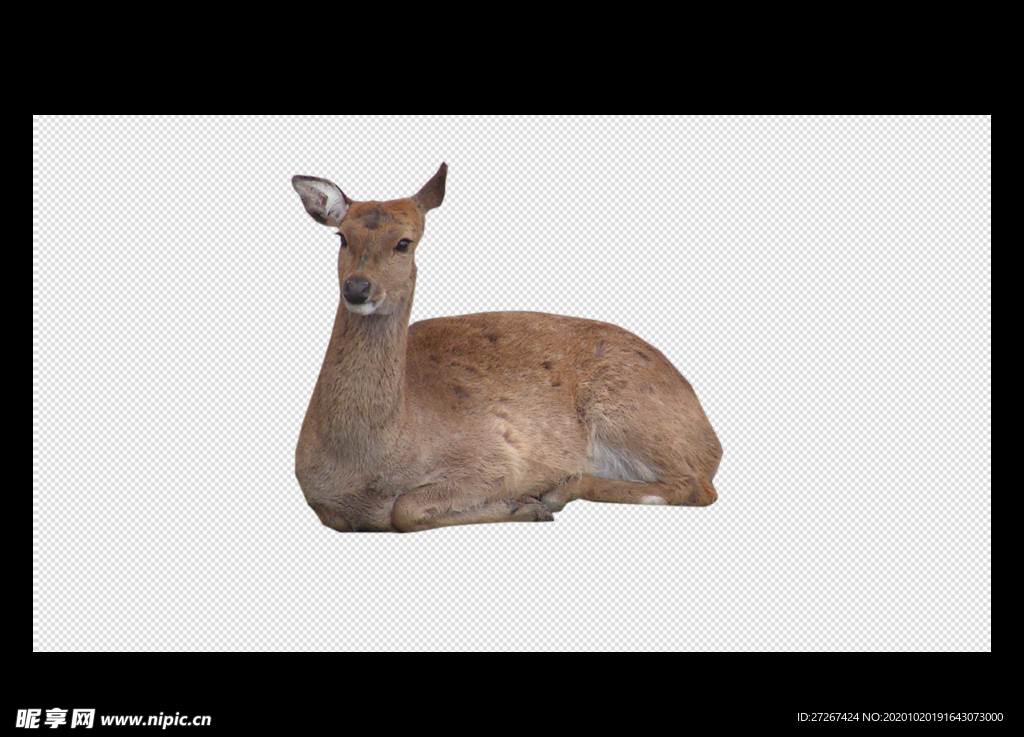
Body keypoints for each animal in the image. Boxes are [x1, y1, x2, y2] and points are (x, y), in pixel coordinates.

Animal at [292, 163, 722, 532]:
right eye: (342, 237)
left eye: (404, 242)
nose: (358, 288)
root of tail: (711, 436)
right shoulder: (320, 500)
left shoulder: (495, 457)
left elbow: (406, 508)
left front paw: (523, 505)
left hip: (629, 413)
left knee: (697, 485)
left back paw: (555, 493)